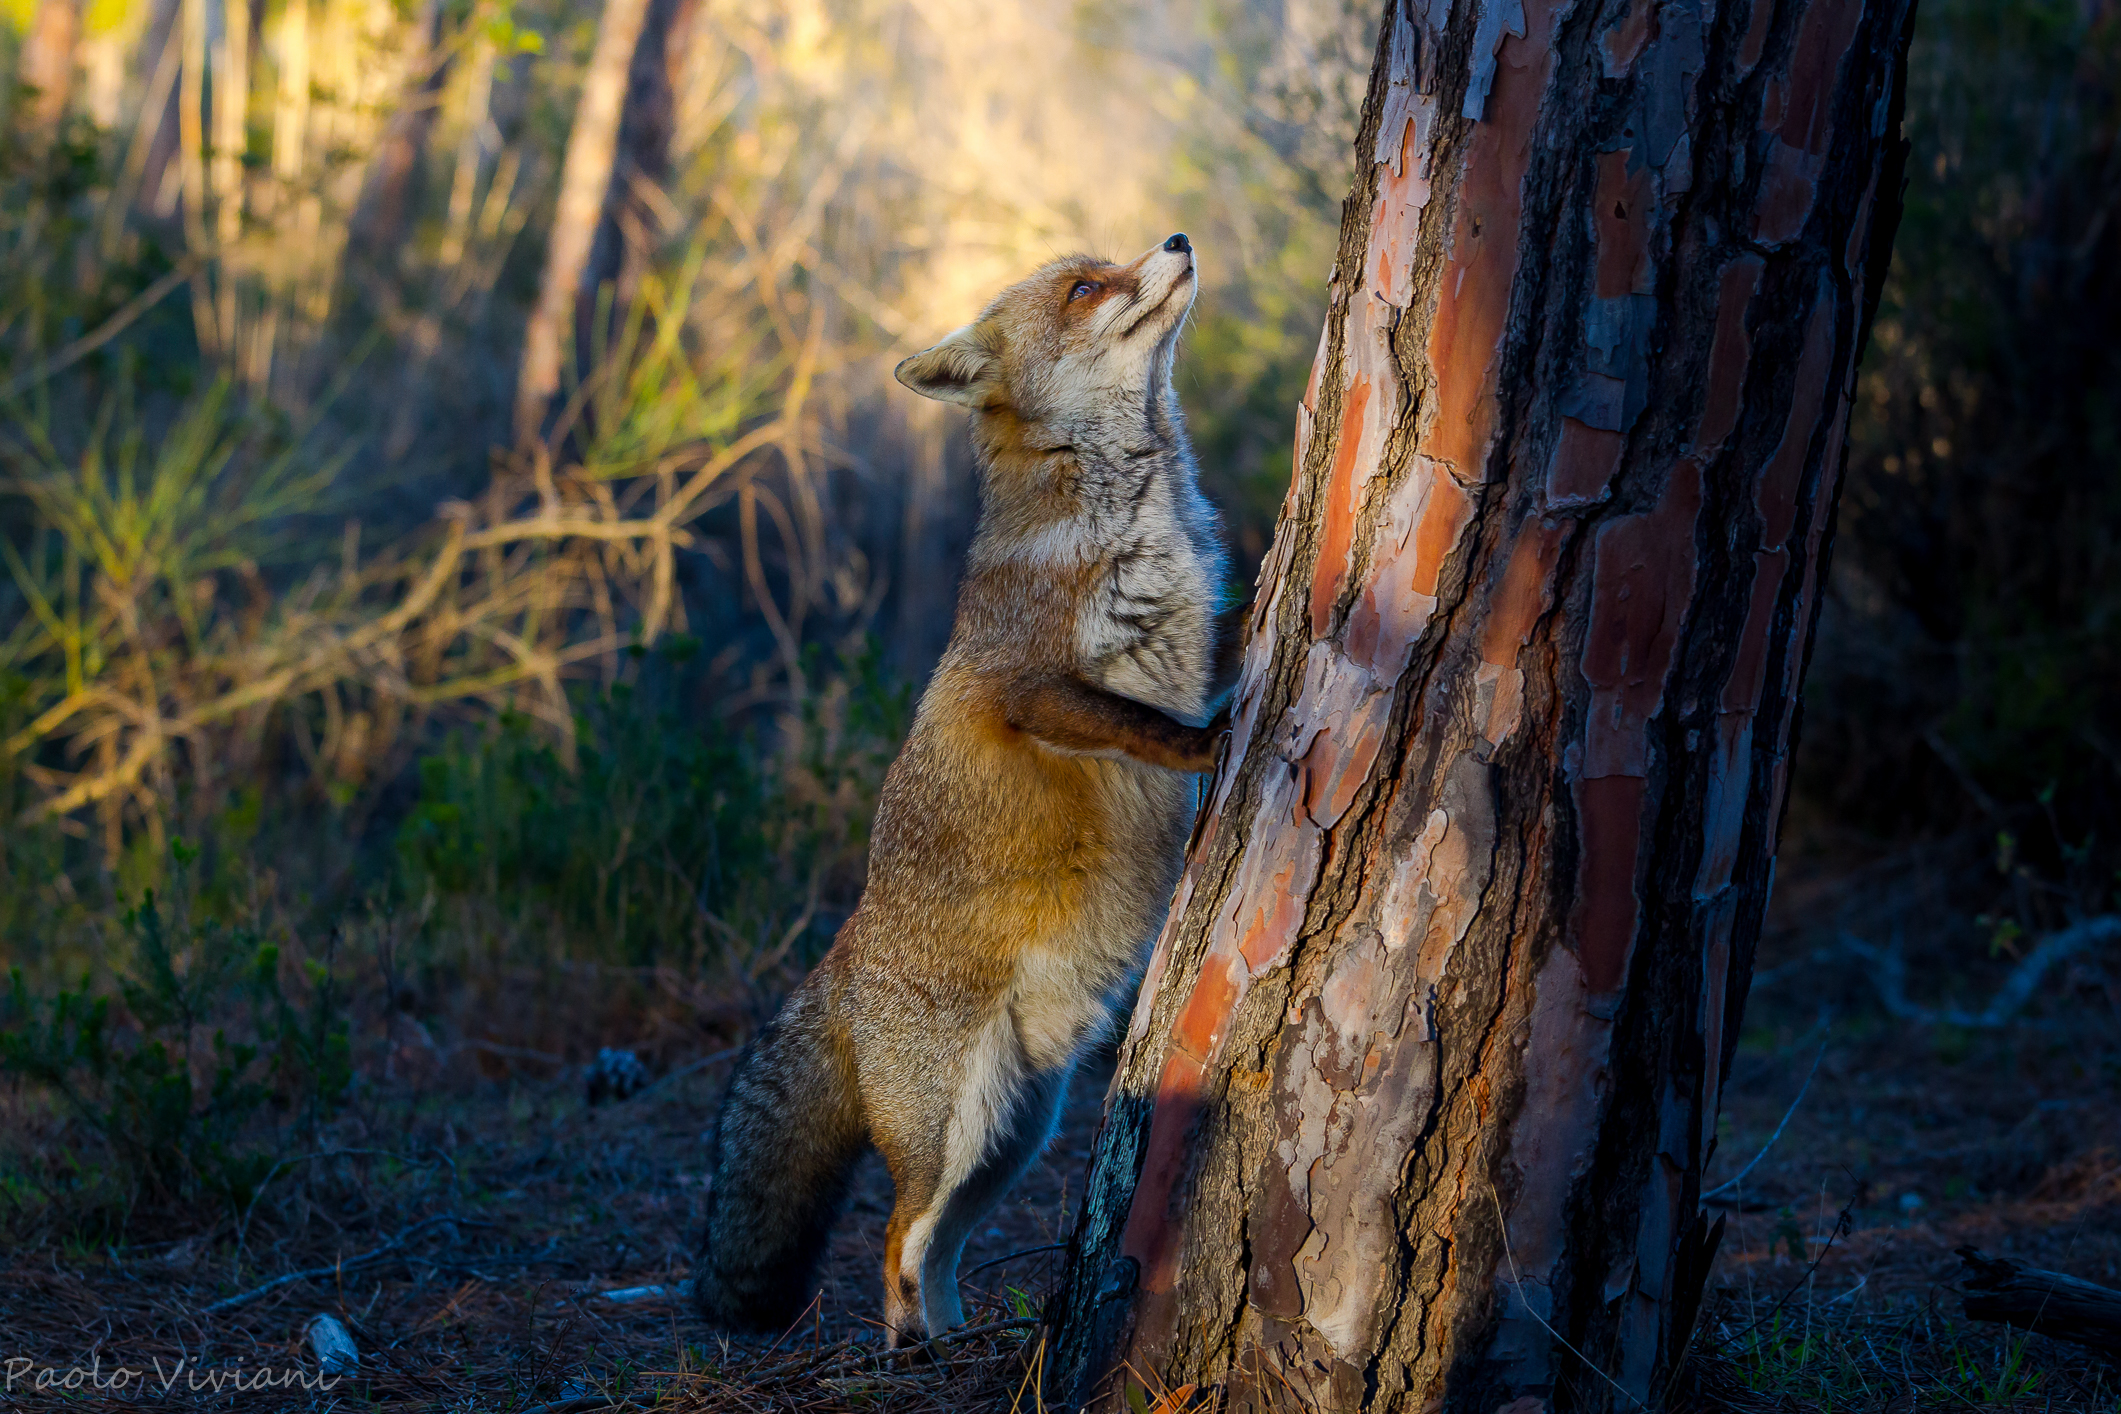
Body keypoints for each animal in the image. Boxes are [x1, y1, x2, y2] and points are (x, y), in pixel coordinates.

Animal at [692, 232, 1240, 1346]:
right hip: (957, 1124)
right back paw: (914, 1349)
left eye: (1102, 265)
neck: (1128, 513)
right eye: (1084, 288)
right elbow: (1144, 727)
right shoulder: (1028, 688)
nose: (1176, 240)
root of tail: (842, 955)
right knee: (895, 1236)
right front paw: (1210, 741)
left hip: (1016, 1135)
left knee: (934, 1244)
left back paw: (957, 1339)